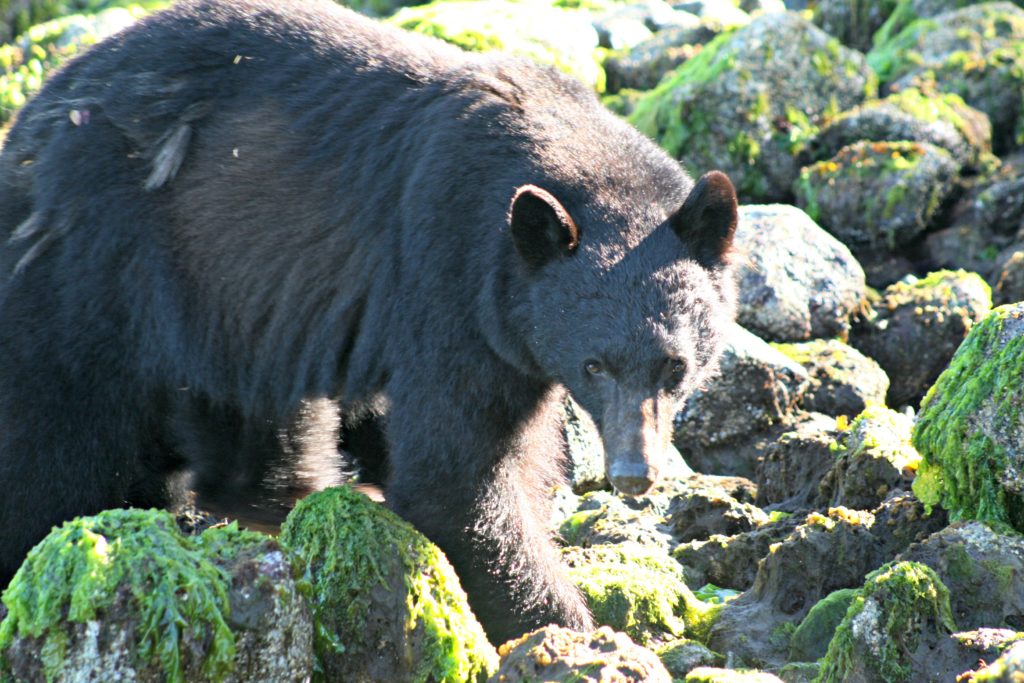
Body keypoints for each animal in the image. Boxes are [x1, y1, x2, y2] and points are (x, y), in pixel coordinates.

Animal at [0, 0, 737, 643]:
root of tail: (28, 123)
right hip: (96, 270)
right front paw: (567, 625)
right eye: (594, 363)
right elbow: (456, 473)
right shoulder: (448, 283)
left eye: (675, 364)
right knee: (62, 441)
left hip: (224, 303)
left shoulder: (511, 329)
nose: (634, 472)